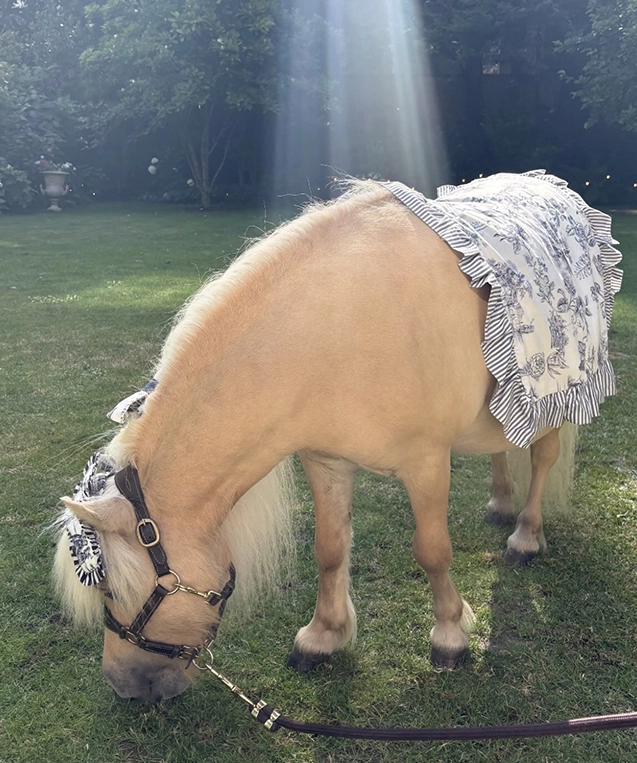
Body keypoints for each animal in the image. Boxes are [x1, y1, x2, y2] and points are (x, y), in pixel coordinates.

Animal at [53, 178, 618, 703]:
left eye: (113, 589)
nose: (124, 685)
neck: (338, 329)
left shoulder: (426, 464)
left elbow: (432, 551)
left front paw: (450, 636)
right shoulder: (325, 462)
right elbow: (328, 549)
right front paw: (322, 638)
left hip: (554, 397)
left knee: (542, 458)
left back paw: (525, 534)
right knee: (501, 446)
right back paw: (501, 504)